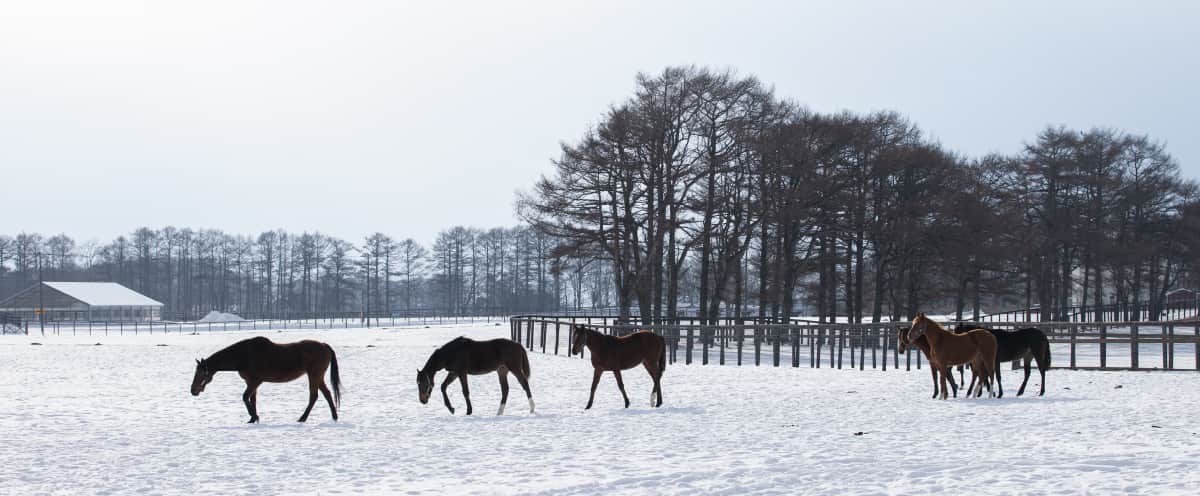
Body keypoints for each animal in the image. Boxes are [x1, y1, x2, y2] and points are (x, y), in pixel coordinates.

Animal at [188, 333, 338, 422]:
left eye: (201, 373)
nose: (193, 390)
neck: (244, 356)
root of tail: (324, 345)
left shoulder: (256, 381)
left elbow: (245, 397)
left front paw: (254, 416)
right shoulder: (251, 382)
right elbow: (252, 400)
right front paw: (253, 419)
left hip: (314, 375)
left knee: (314, 396)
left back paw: (302, 418)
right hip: (318, 376)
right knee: (327, 394)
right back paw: (334, 416)